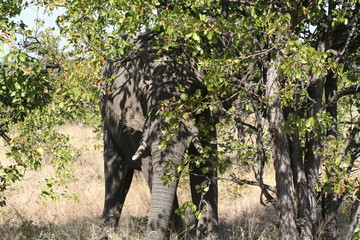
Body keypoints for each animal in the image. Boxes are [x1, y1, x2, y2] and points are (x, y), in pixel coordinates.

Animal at [100, 32, 218, 240]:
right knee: (115, 176)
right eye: (142, 94)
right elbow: (151, 168)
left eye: (193, 91)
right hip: (108, 124)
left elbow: (205, 163)